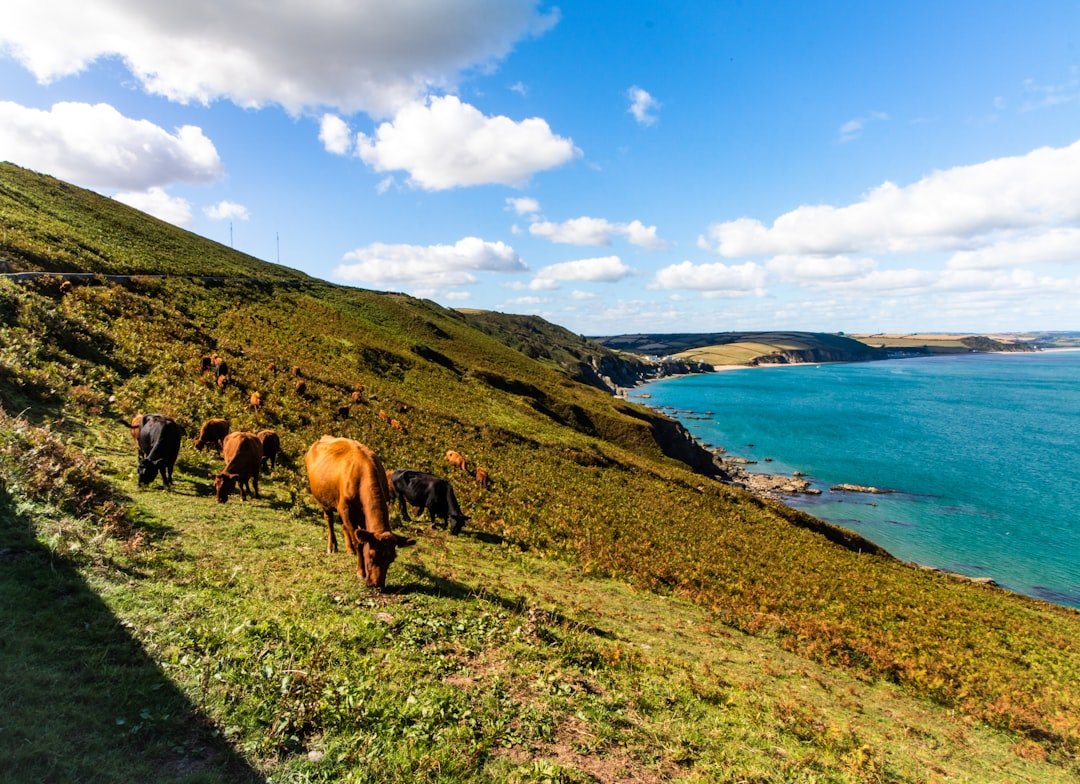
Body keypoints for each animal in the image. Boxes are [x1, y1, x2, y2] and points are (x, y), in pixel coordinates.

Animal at [311, 436, 419, 587]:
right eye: (372, 556)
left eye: (391, 559)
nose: (377, 585)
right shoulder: (346, 510)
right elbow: (359, 543)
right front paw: (360, 571)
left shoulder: (359, 515)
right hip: (324, 501)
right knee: (330, 521)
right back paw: (332, 546)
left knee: (344, 526)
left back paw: (349, 549)